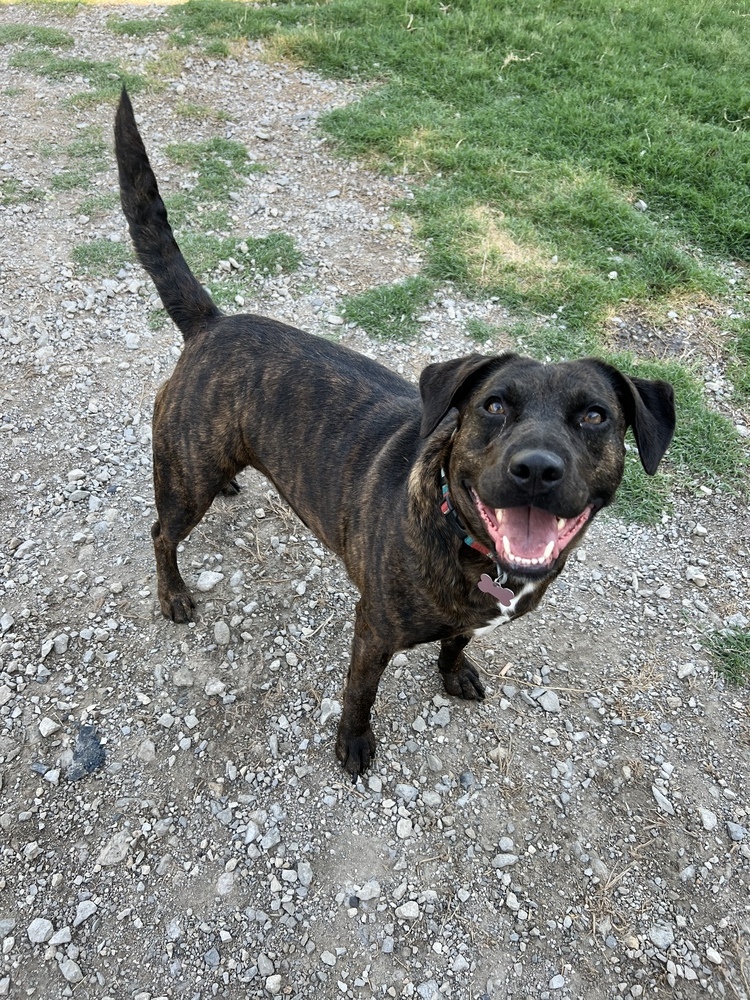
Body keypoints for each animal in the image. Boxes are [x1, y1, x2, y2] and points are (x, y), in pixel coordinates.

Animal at [114, 92, 680, 780]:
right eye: (494, 406)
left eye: (595, 417)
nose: (537, 469)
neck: (465, 537)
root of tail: (212, 324)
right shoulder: (374, 630)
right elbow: (361, 693)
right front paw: (354, 744)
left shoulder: (466, 617)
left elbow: (456, 641)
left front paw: (454, 671)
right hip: (183, 478)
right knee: (162, 533)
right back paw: (173, 593)